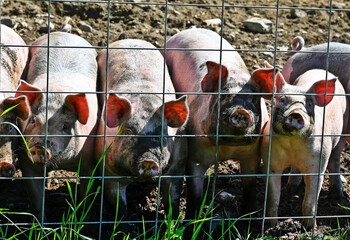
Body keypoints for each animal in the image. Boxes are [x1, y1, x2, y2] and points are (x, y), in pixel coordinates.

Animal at [13, 31, 98, 220]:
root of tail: (66, 33)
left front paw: (83, 220)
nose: (39, 146)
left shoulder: (90, 159)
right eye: (33, 120)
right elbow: (36, 197)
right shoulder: (25, 157)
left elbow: (87, 195)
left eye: (65, 127)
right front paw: (39, 223)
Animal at [95, 38, 189, 223]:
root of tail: (128, 38)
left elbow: (172, 201)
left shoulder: (177, 165)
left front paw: (173, 225)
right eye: (129, 132)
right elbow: (119, 207)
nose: (148, 160)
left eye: (161, 134)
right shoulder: (109, 172)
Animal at [163, 27, 268, 218]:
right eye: (224, 96)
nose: (240, 110)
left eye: (253, 100)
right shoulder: (196, 153)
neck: (228, 148)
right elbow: (195, 193)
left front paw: (248, 219)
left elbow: (249, 187)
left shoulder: (252, 153)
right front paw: (191, 221)